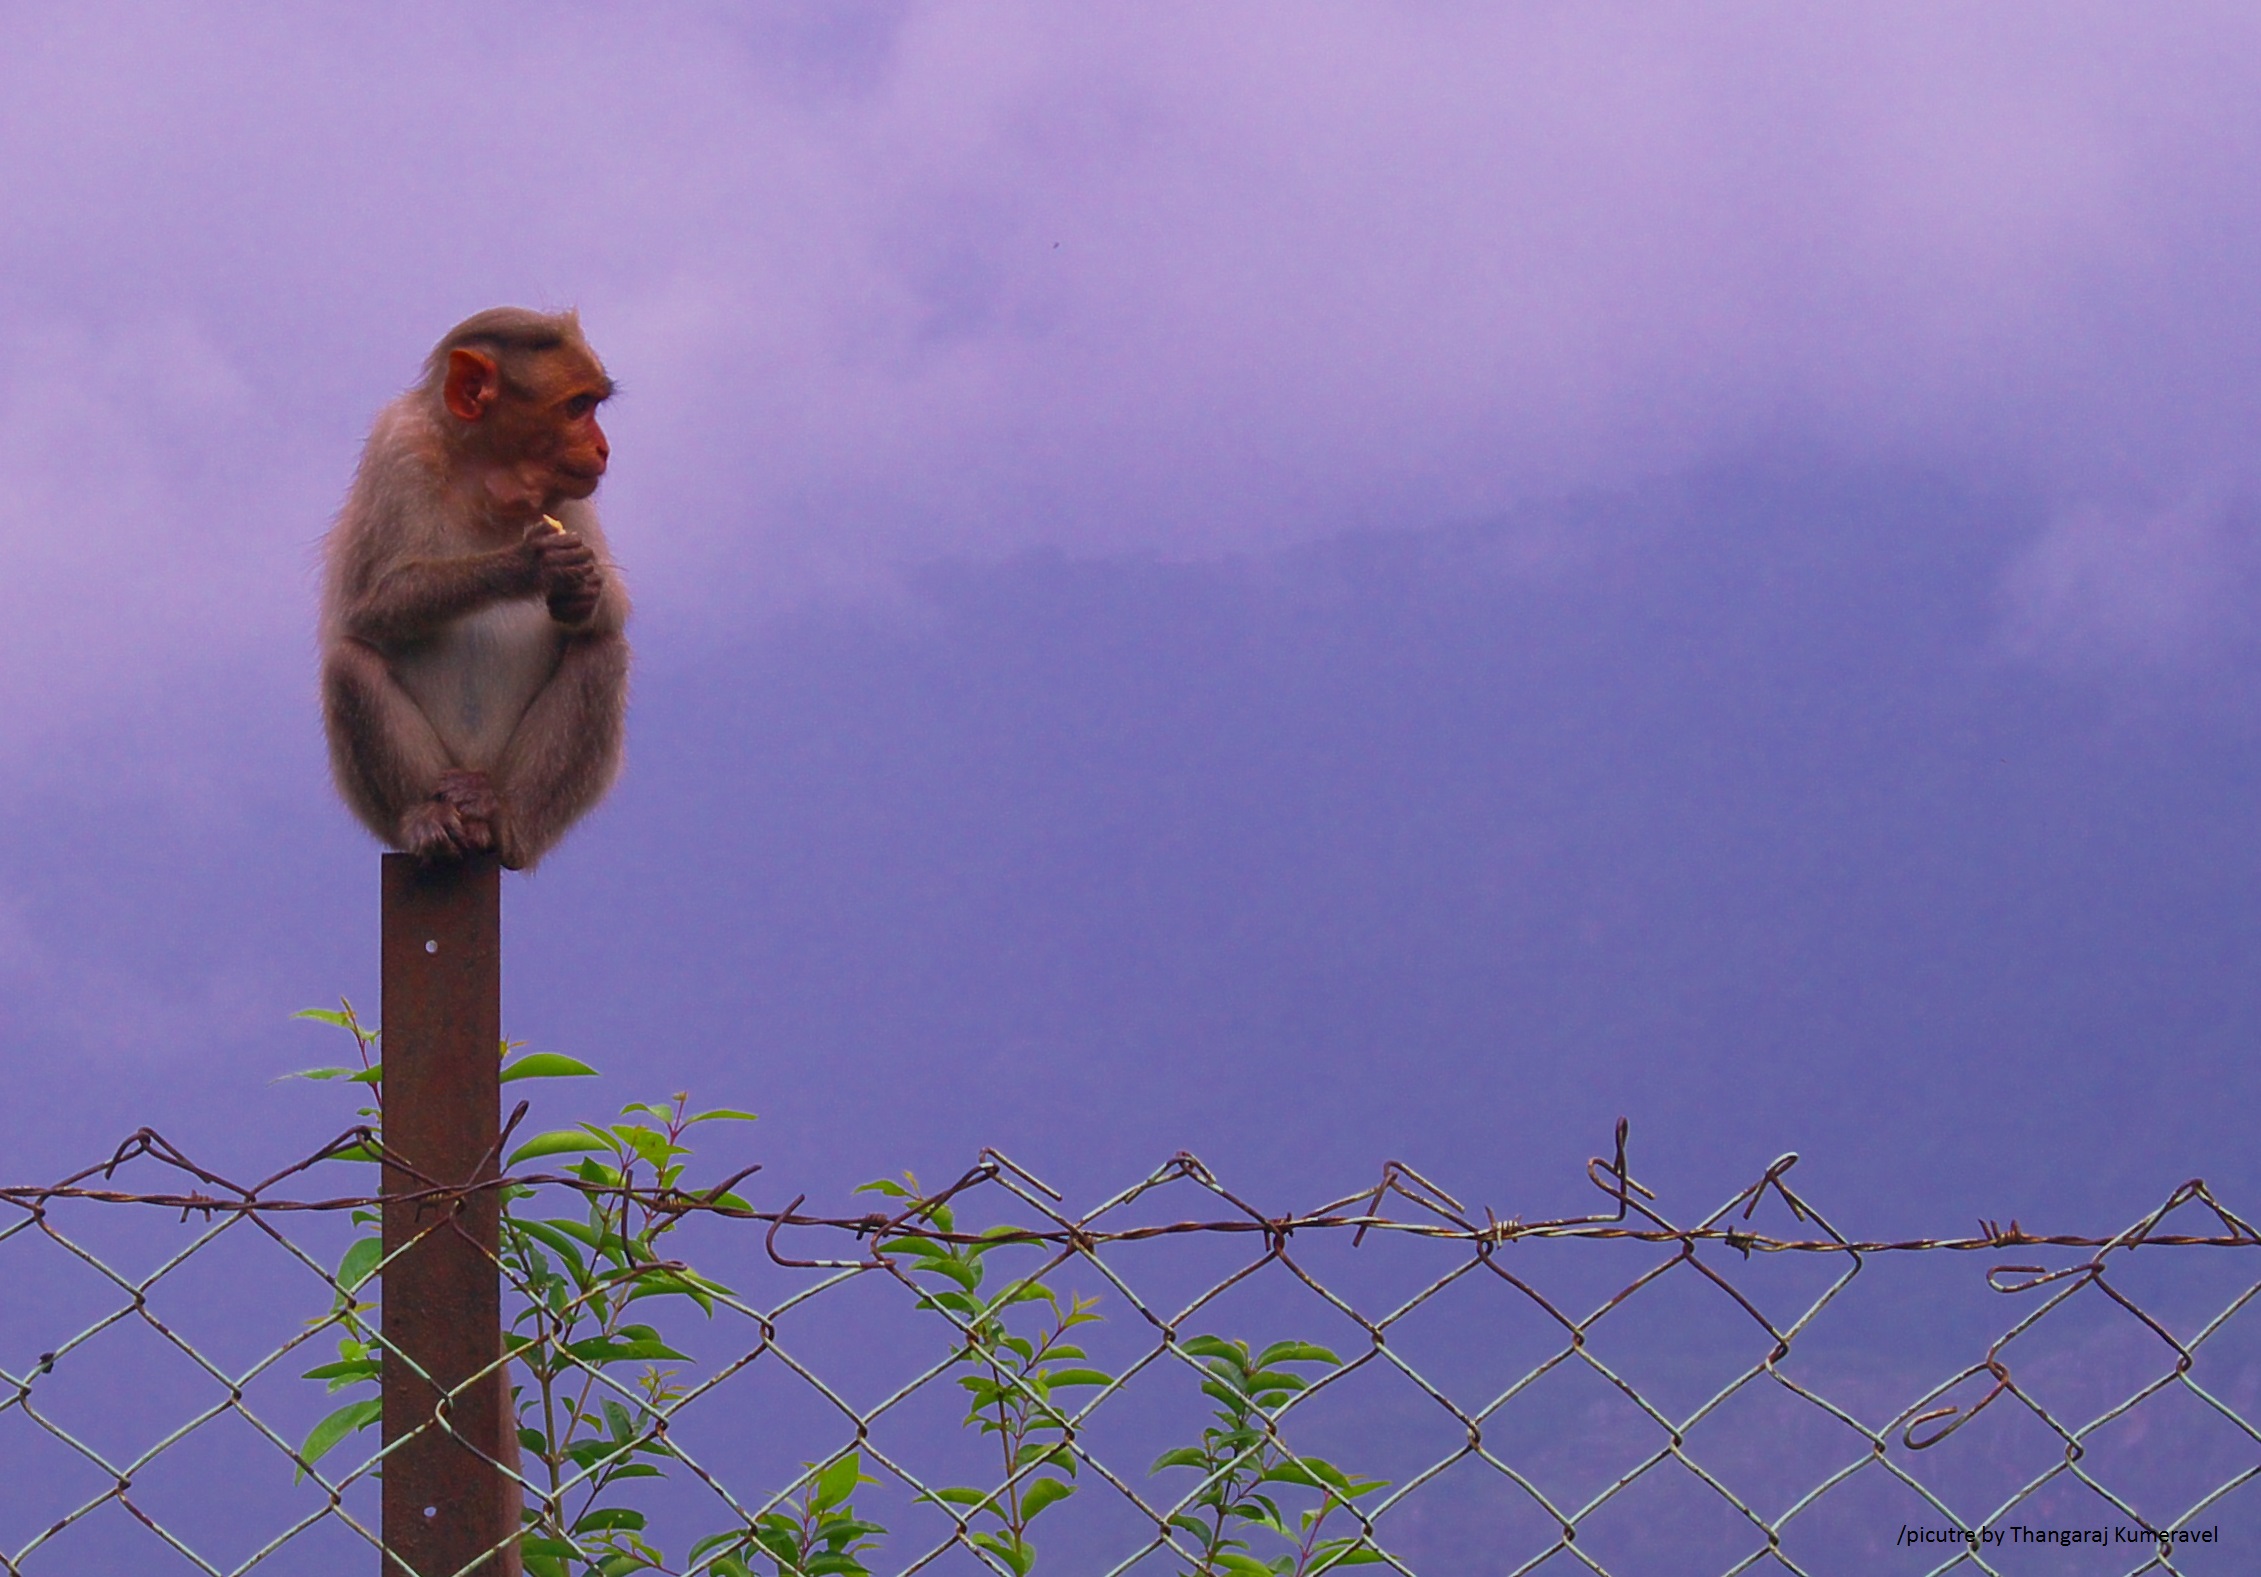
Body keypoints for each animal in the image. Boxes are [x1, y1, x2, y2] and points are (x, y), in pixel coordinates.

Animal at [318, 307, 628, 873]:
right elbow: (369, 605)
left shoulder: (569, 492)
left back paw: (502, 818)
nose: (603, 449)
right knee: (348, 662)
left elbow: (611, 612)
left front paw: (582, 589)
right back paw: (425, 819)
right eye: (577, 407)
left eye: (593, 405)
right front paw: (530, 564)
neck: (484, 476)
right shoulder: (398, 448)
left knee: (603, 651)